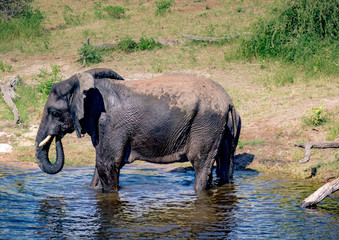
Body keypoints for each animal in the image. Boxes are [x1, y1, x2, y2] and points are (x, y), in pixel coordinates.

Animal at [35, 68, 242, 193]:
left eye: (54, 113)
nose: (57, 137)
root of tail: (229, 101)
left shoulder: (110, 125)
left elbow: (106, 165)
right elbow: (99, 168)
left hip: (206, 123)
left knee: (201, 164)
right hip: (223, 127)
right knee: (225, 164)